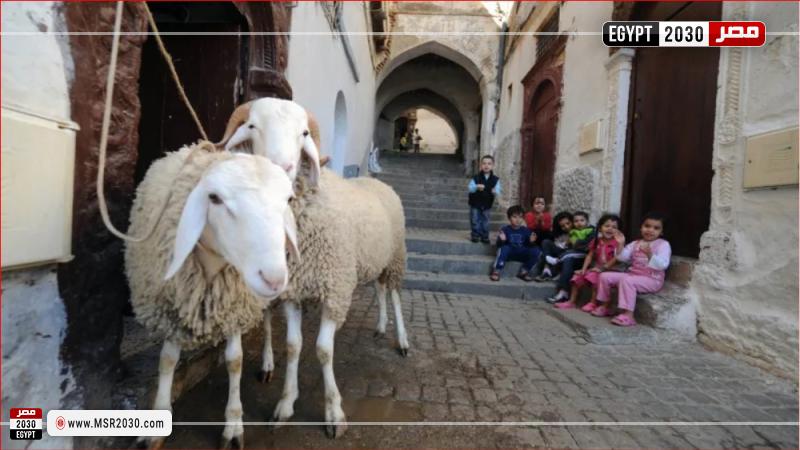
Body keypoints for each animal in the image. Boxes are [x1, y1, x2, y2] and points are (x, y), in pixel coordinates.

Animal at [123, 145, 298, 450]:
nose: (274, 278)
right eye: (214, 198)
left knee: (271, 325)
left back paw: (268, 365)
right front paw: (157, 423)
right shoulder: (172, 307)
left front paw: (233, 426)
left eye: (288, 199)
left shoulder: (235, 309)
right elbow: (167, 360)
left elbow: (235, 360)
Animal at [217, 101, 406, 436]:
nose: (281, 167)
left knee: (395, 295)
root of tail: (374, 179)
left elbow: (323, 350)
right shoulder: (293, 293)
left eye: (304, 133)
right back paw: (381, 326)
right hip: (374, 259)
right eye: (252, 126)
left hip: (395, 257)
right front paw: (285, 403)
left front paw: (334, 412)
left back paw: (403, 341)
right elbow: (293, 346)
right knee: (380, 289)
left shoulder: (335, 291)